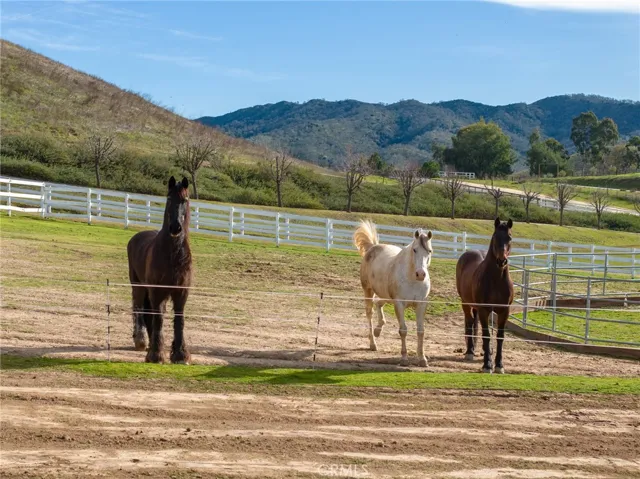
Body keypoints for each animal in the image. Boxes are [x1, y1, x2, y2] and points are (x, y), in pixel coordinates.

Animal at [127, 176, 193, 364]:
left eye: (185, 199)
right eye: (169, 198)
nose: (175, 227)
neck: (173, 254)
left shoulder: (181, 292)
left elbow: (179, 320)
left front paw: (180, 355)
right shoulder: (157, 291)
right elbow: (159, 319)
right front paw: (156, 355)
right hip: (138, 286)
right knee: (139, 308)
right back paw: (141, 341)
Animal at [354, 220, 433, 367]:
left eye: (429, 251)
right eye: (415, 249)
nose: (420, 274)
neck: (411, 278)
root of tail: (373, 247)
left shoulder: (421, 304)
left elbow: (421, 331)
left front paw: (422, 359)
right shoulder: (399, 304)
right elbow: (403, 330)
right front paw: (404, 358)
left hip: (386, 296)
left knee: (379, 303)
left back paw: (378, 330)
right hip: (368, 291)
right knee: (369, 313)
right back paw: (373, 343)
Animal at [456, 217, 514, 373]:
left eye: (509, 238)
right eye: (495, 237)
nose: (501, 261)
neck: (496, 280)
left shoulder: (504, 311)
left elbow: (500, 336)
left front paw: (499, 364)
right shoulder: (484, 309)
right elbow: (487, 335)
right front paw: (487, 365)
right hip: (466, 303)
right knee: (470, 322)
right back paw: (470, 351)